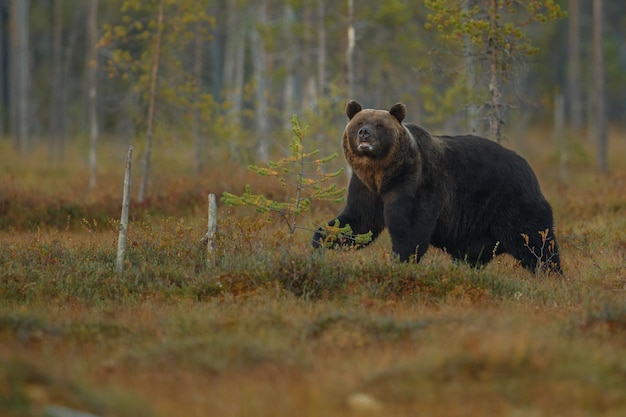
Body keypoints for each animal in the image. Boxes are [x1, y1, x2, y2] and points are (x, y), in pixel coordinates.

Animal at [312, 100, 560, 272]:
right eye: (359, 123)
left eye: (379, 125)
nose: (364, 133)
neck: (383, 174)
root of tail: (529, 168)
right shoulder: (366, 188)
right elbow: (357, 222)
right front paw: (320, 240)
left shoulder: (416, 182)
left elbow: (410, 229)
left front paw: (400, 261)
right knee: (474, 255)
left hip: (511, 202)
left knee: (536, 243)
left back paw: (550, 275)